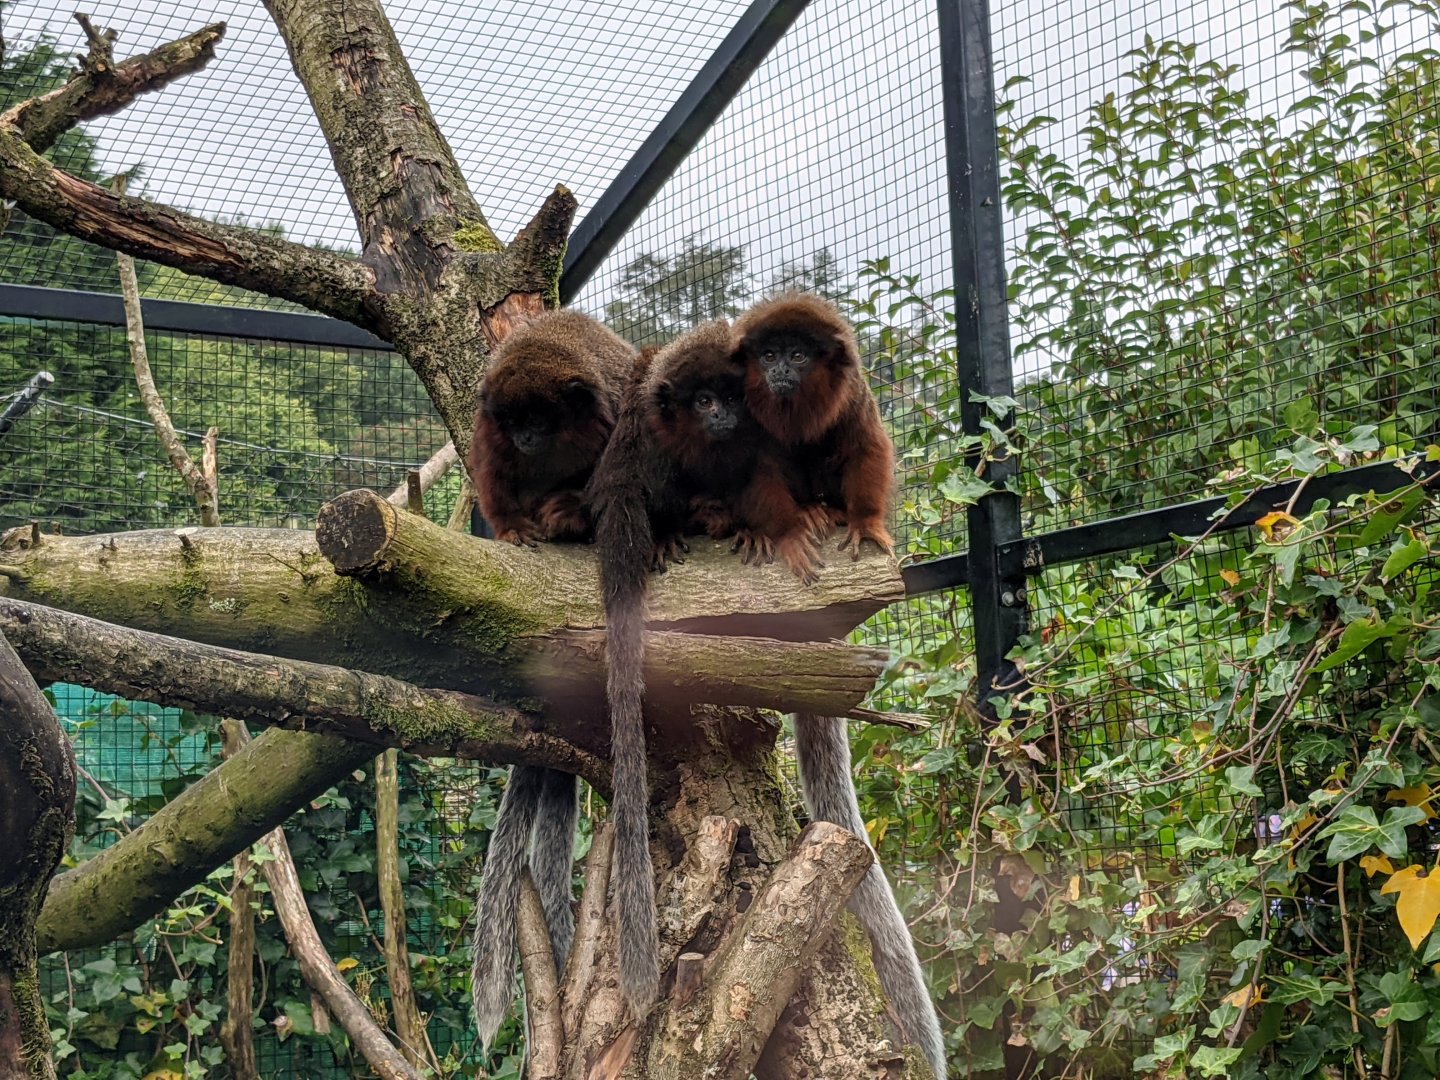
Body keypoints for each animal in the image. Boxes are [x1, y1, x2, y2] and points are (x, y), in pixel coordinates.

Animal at [466, 309, 635, 546]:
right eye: (511, 423)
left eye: (536, 421)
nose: (524, 438)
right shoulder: (489, 425)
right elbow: (493, 469)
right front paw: (513, 525)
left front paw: (568, 511)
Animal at [733, 291, 897, 560]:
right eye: (769, 356)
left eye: (797, 356)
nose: (780, 370)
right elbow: (754, 467)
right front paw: (785, 530)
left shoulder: (852, 391)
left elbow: (865, 446)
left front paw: (865, 522)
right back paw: (805, 511)